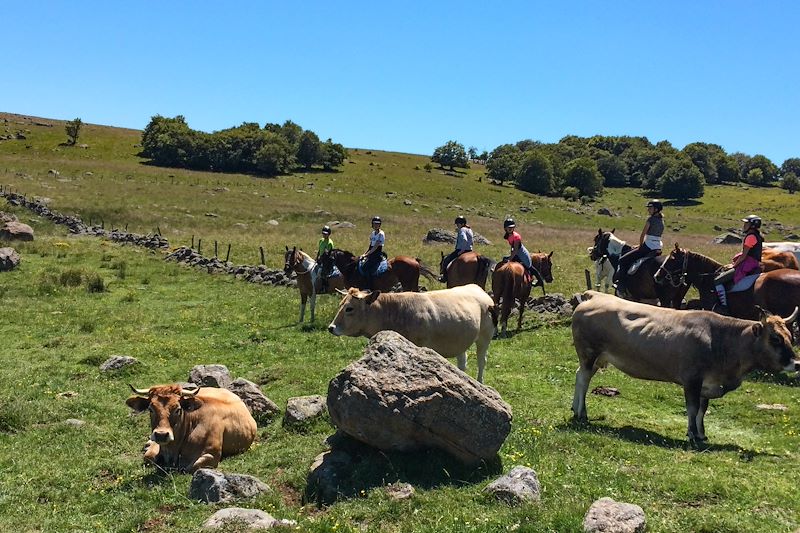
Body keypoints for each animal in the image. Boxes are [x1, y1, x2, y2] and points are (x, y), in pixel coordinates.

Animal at [126, 384, 256, 472]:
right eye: (150, 409)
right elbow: (148, 456)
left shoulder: (212, 455)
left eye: (178, 409)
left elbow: (190, 468)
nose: (161, 435)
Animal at [328, 282, 496, 382]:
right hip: (460, 339)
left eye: (349, 308)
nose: (331, 327)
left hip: (485, 336)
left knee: (482, 360)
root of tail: (477, 288)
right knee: (462, 361)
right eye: (340, 305)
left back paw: (479, 381)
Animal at [572, 288, 796, 442]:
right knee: (583, 380)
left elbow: (702, 410)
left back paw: (576, 409)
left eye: (790, 336)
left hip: (597, 359)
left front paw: (702, 434)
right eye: (775, 338)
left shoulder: (707, 383)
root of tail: (595, 295)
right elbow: (692, 408)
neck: (721, 339)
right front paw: (692, 434)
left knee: (579, 375)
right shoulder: (691, 380)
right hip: (588, 354)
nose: (796, 363)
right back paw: (581, 414)